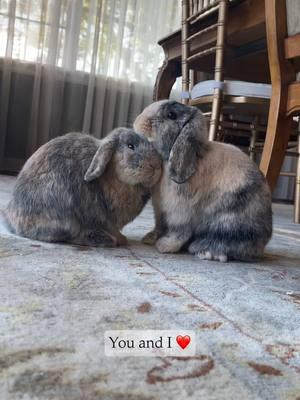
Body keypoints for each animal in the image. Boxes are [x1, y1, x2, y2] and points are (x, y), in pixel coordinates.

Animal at [4, 128, 162, 247]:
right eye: (130, 146)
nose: (156, 166)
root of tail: (12, 221)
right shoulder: (104, 219)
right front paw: (122, 240)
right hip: (66, 216)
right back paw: (105, 240)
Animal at [134, 100, 272, 262]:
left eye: (171, 115)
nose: (138, 121)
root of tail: (262, 244)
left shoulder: (180, 211)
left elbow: (178, 231)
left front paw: (165, 246)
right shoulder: (160, 209)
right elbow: (159, 226)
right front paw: (149, 238)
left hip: (228, 223)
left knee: (229, 245)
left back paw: (205, 251)